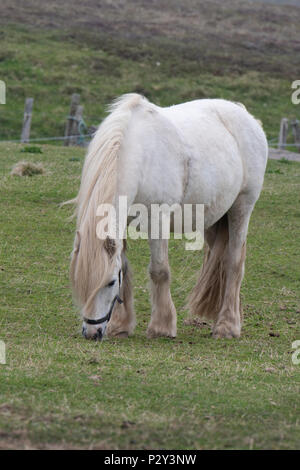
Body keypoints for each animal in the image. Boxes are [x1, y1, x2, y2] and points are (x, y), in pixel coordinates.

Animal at [70, 92, 268, 342]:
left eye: (110, 282)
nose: (91, 332)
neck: (138, 155)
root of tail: (246, 116)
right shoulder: (120, 224)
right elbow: (125, 265)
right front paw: (121, 325)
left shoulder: (157, 220)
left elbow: (159, 270)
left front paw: (162, 327)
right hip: (213, 219)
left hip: (241, 208)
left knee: (233, 262)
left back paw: (227, 326)